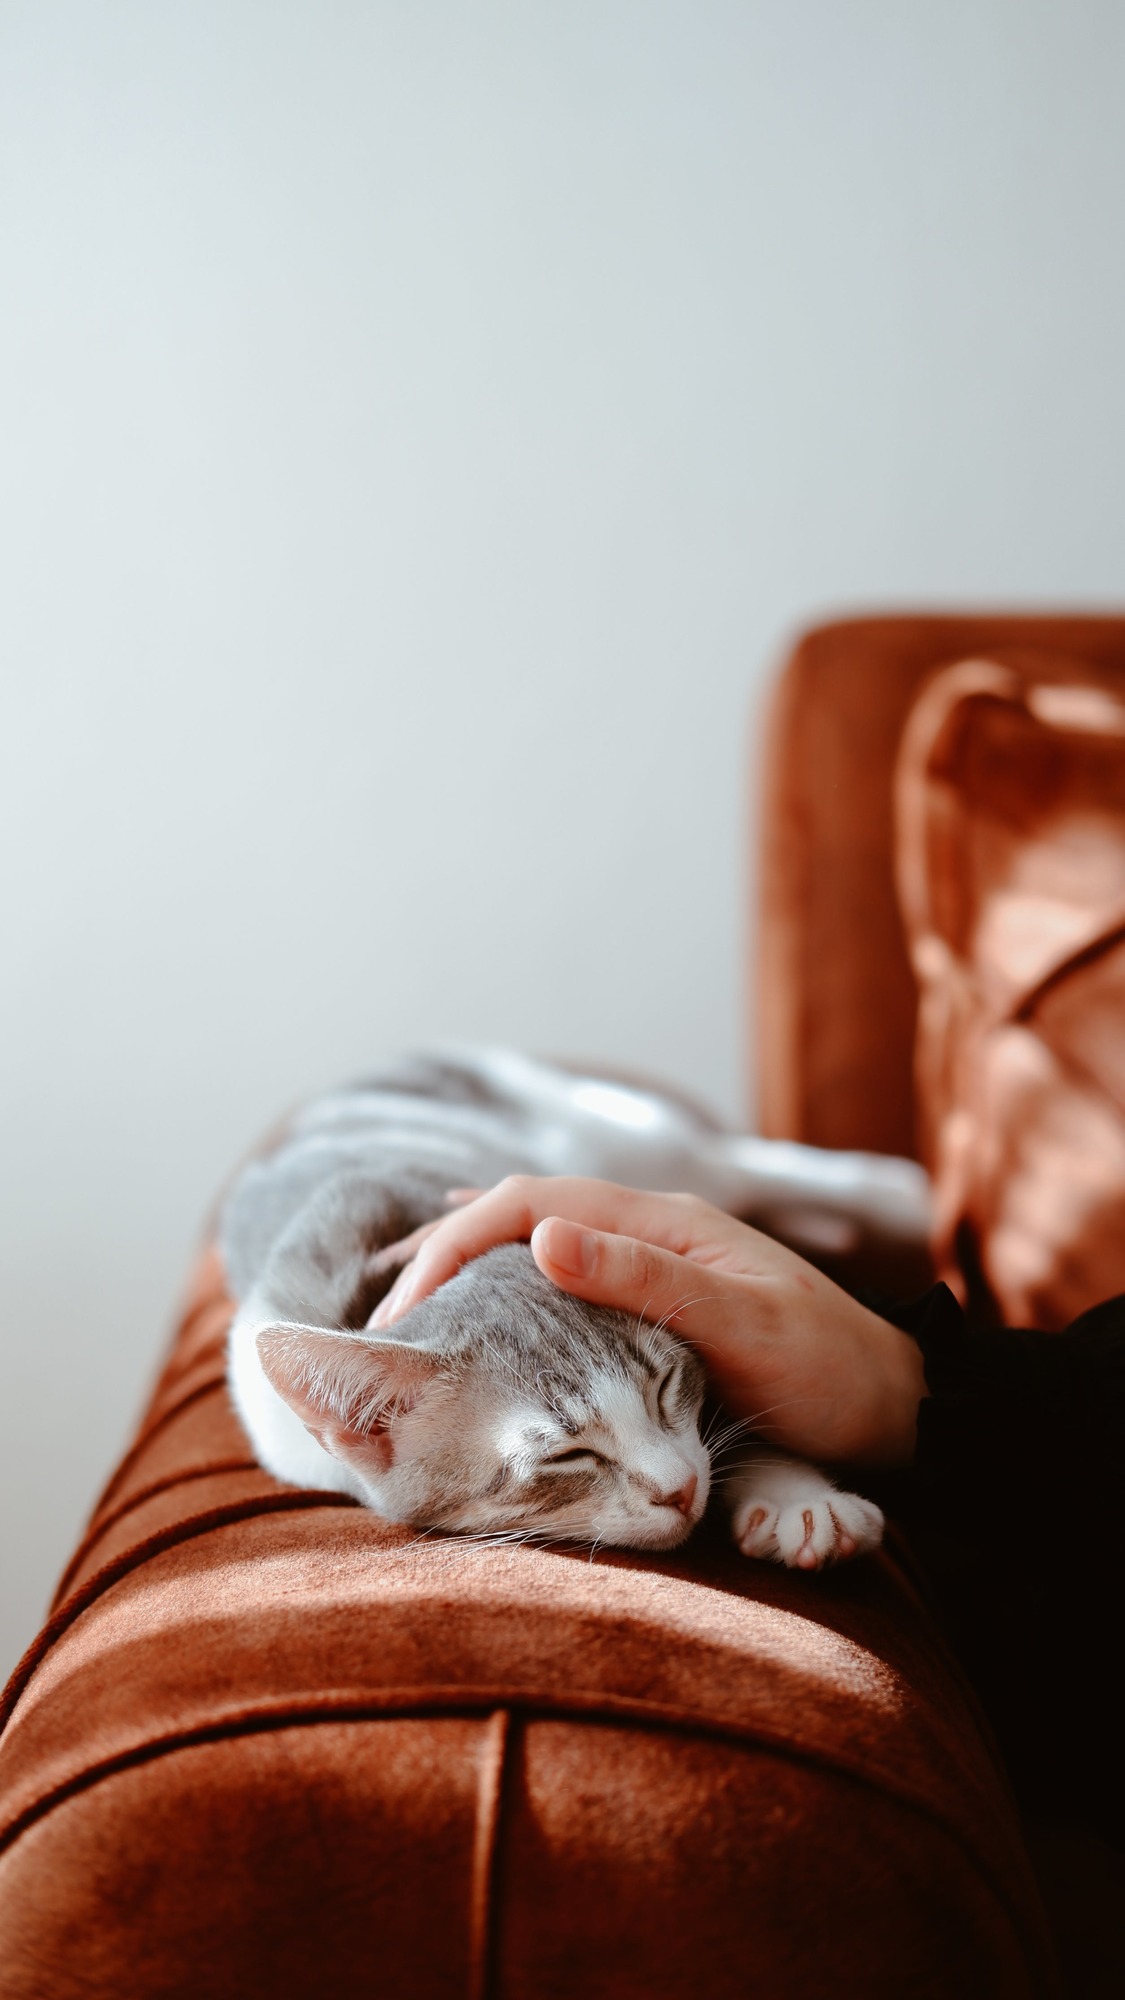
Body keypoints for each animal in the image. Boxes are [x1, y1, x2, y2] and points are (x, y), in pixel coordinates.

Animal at [223, 1056, 892, 1568]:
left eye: (665, 1386)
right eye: (567, 1456)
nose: (680, 1490)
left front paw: (795, 1495)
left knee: (735, 1162)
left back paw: (889, 1194)